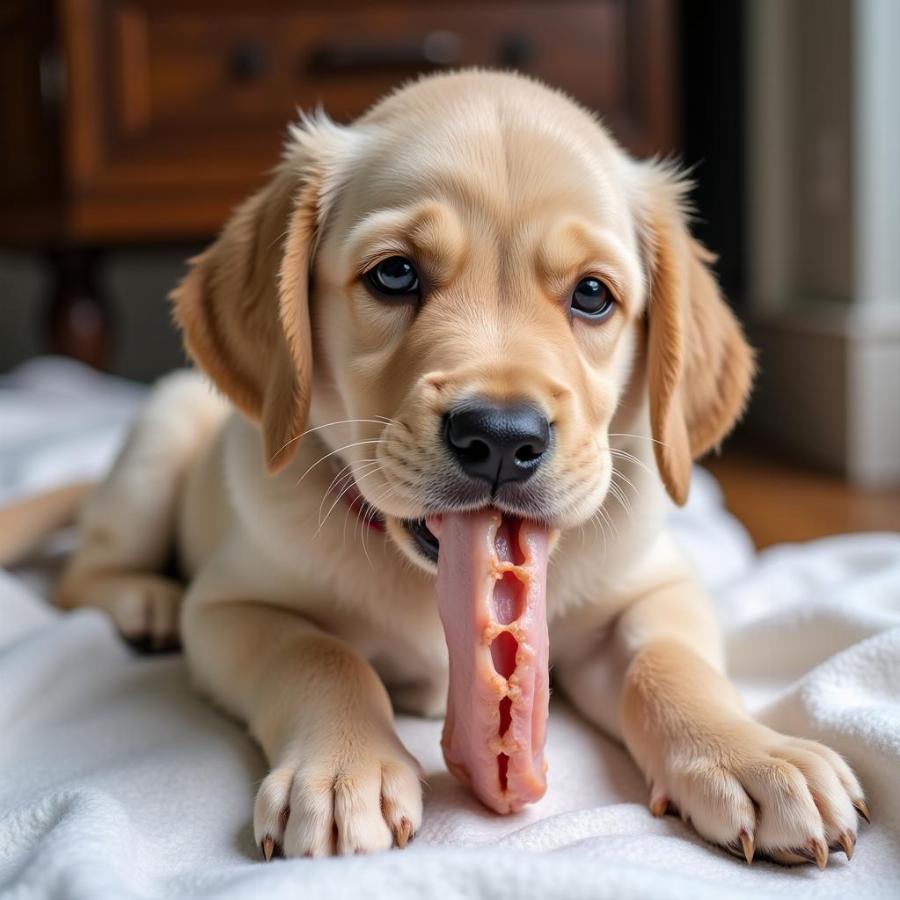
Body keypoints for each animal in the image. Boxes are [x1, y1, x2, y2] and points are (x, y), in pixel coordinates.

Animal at [54, 70, 864, 864]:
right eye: (394, 275)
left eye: (593, 294)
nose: (501, 438)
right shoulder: (231, 605)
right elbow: (318, 653)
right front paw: (343, 768)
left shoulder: (651, 589)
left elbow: (670, 663)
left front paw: (751, 755)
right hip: (161, 430)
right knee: (79, 575)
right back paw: (144, 602)